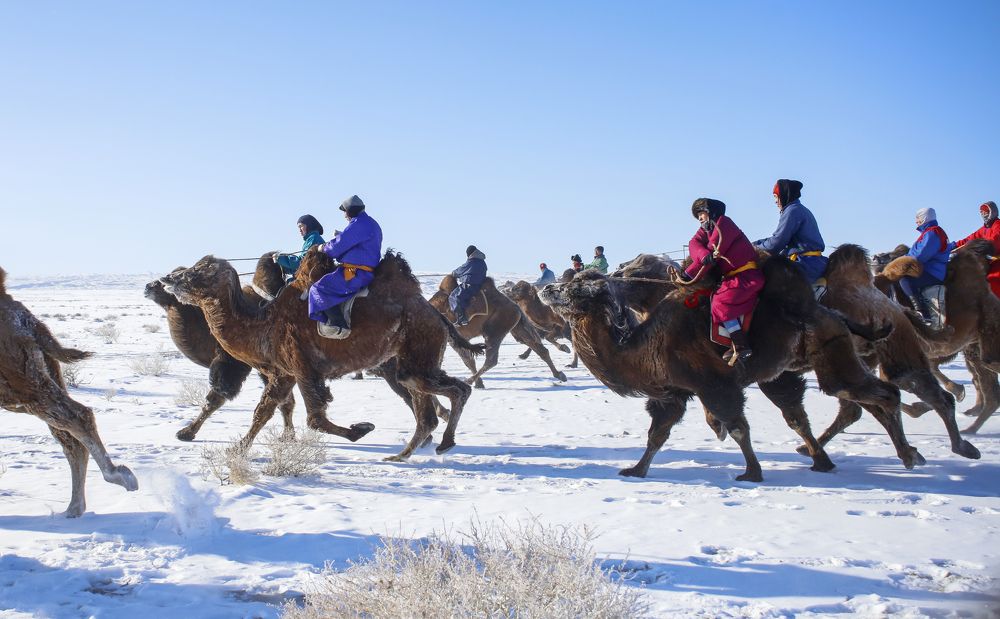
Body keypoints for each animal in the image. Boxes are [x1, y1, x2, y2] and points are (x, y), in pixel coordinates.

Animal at [0, 268, 137, 516]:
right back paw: (73, 509)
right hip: (37, 379)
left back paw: (119, 477)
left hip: (20, 382)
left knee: (78, 417)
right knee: (68, 436)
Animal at [160, 249, 483, 460]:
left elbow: (313, 418)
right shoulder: (283, 372)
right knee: (433, 404)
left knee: (451, 392)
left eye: (200, 270)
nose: (168, 278)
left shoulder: (303, 367)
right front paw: (237, 448)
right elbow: (264, 410)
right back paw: (413, 450)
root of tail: (437, 315)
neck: (262, 324)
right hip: (413, 359)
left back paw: (434, 445)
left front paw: (361, 429)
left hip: (415, 354)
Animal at [430, 276, 567, 388]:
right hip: (517, 328)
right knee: (540, 349)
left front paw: (479, 383)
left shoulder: (451, 337)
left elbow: (467, 359)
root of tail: (516, 307)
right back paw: (560, 374)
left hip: (495, 331)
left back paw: (468, 381)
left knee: (491, 359)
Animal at [539, 257, 917, 482]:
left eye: (576, 288)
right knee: (836, 404)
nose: (547, 288)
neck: (642, 345)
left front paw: (752, 472)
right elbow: (657, 434)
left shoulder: (714, 385)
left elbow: (737, 427)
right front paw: (636, 469)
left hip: (830, 358)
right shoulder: (673, 394)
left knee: (877, 393)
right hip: (811, 362)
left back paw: (909, 455)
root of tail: (833, 315)